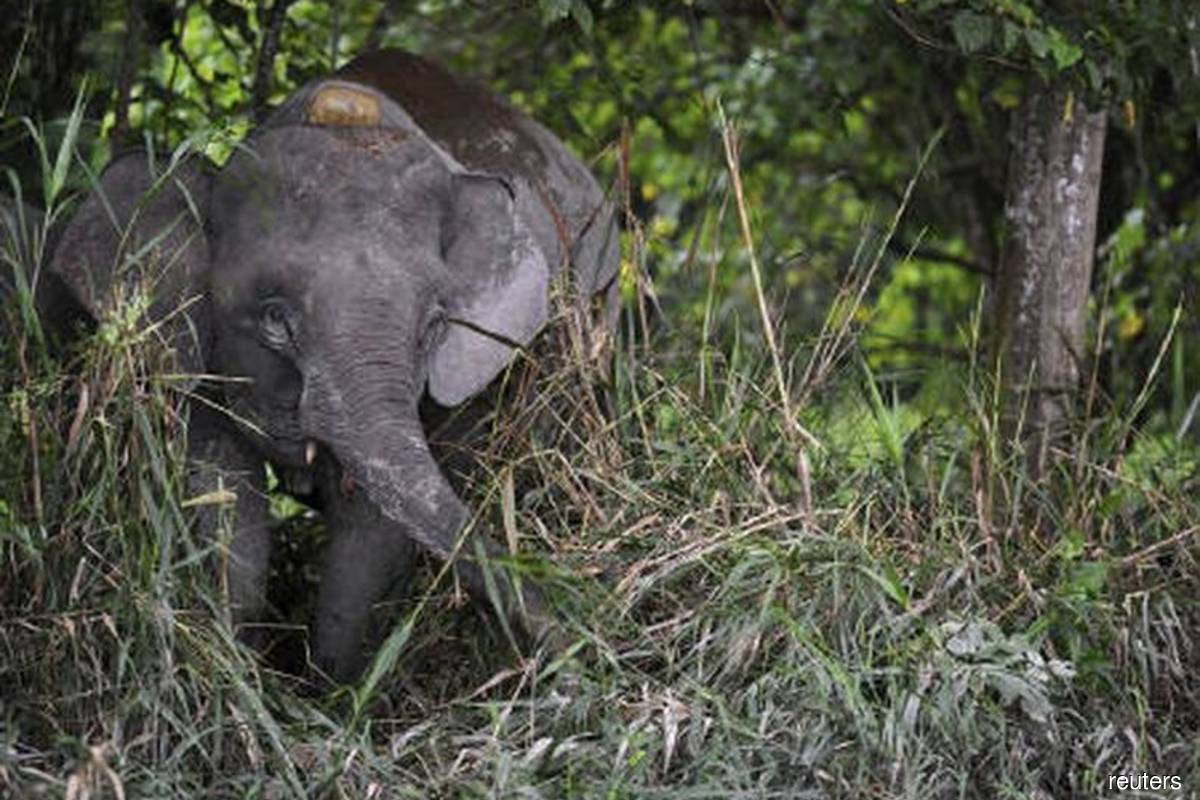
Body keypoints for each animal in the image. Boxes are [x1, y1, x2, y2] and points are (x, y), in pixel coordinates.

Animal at [42, 49, 620, 682]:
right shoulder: (192, 345)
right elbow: (222, 496)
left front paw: (334, 688)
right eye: (274, 319)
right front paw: (236, 668)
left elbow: (371, 529)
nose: (581, 644)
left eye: (434, 326)